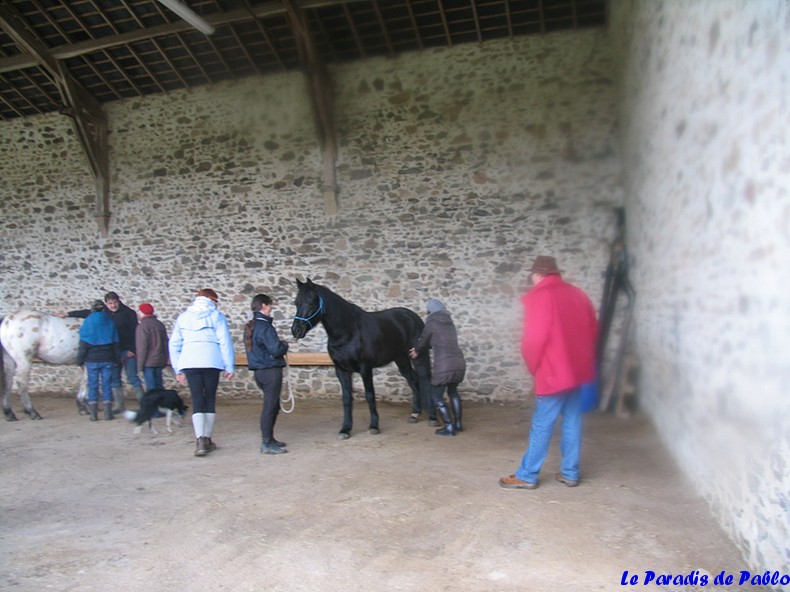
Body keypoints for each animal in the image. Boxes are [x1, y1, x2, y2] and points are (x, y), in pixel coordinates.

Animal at [290, 278, 434, 440]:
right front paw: (345, 429)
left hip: (418, 356)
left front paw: (374, 426)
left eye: (311, 302)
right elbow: (347, 399)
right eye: (296, 302)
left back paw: (432, 417)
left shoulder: (365, 368)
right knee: (413, 380)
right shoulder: (342, 370)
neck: (348, 331)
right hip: (401, 358)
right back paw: (415, 414)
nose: (296, 330)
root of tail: (413, 317)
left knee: (425, 379)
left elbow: (370, 395)